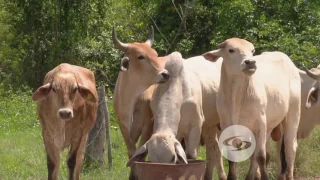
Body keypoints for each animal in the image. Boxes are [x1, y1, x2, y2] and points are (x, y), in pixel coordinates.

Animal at [112, 26, 174, 180]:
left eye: (155, 54)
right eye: (141, 56)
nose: (165, 74)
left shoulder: (148, 122)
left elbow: (140, 153)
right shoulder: (123, 125)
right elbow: (131, 152)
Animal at [127, 51, 228, 180]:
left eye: (172, 158)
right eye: (152, 160)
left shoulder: (196, 126)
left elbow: (191, 155)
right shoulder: (178, 133)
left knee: (215, 150)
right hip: (210, 126)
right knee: (212, 148)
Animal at [204, 38, 302, 180]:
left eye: (252, 51)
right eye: (231, 50)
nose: (250, 62)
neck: (236, 97)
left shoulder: (260, 124)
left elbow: (261, 156)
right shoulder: (227, 126)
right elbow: (233, 158)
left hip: (293, 115)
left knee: (289, 148)